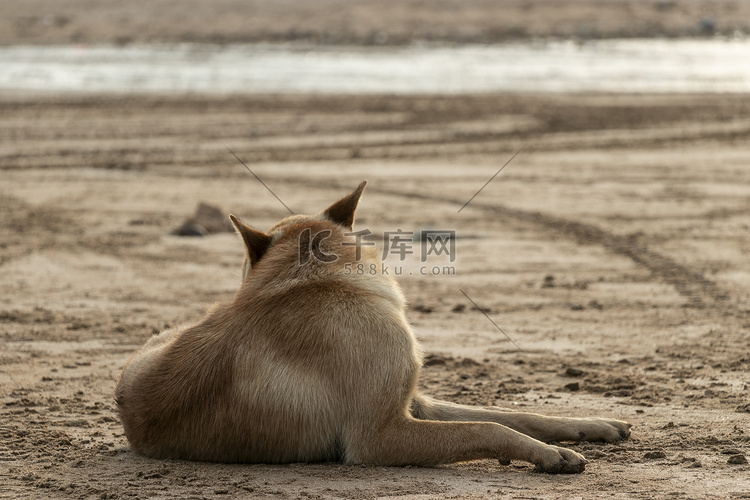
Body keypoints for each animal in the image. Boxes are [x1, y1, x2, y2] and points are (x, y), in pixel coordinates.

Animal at [116, 183, 636, 472]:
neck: (317, 278)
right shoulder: (382, 434)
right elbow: (486, 426)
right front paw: (549, 455)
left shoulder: (415, 402)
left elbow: (513, 414)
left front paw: (588, 426)